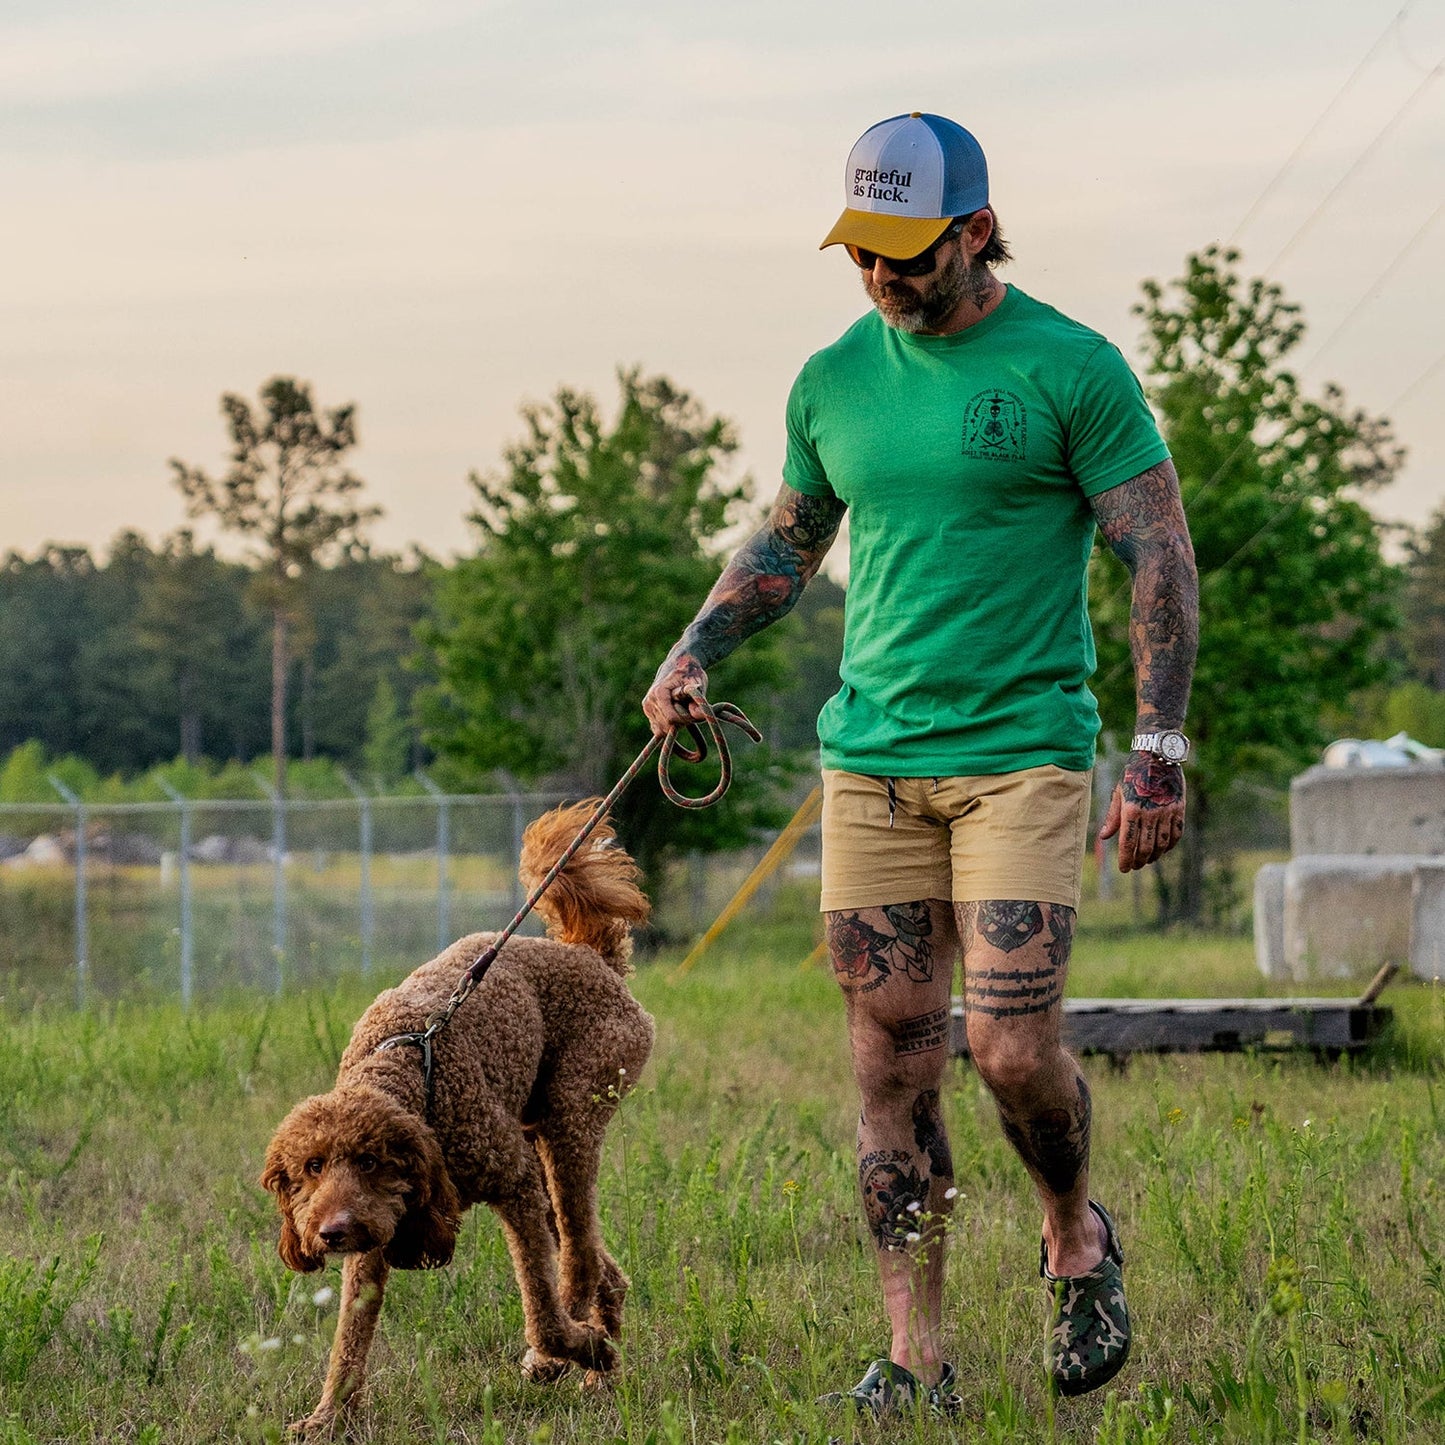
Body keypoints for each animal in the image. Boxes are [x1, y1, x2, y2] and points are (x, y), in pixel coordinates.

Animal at [260, 803, 656, 1433]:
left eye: (369, 1160)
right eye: (312, 1167)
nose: (332, 1232)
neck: (406, 1067)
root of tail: (591, 957)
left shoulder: (512, 1184)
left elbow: (538, 1299)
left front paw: (560, 1349)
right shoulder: (379, 1232)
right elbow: (350, 1338)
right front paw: (328, 1417)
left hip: (568, 1124)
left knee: (574, 1255)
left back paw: (565, 1353)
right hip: (538, 1150)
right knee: (602, 1267)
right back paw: (599, 1366)